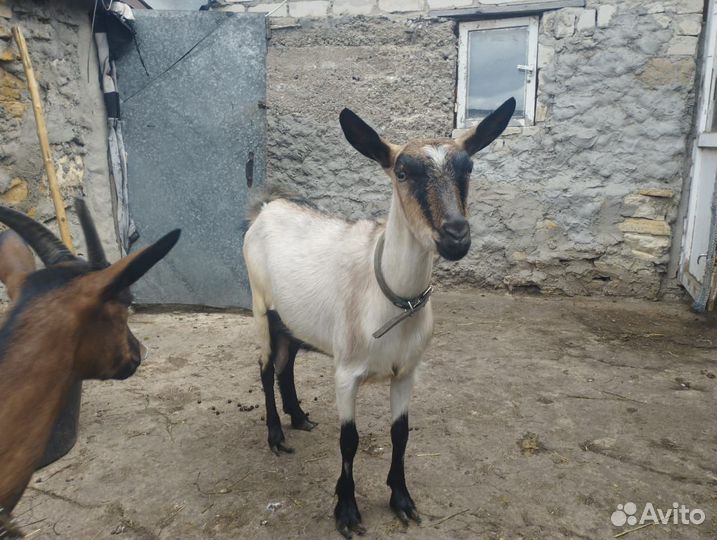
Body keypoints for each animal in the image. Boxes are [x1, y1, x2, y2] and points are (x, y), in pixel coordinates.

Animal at [243, 98, 516, 538]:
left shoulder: (406, 372)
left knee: (287, 365)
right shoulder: (346, 372)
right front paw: (347, 511)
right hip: (260, 304)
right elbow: (349, 441)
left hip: (294, 319)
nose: (456, 235)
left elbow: (400, 433)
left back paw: (298, 417)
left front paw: (401, 500)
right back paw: (275, 435)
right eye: (402, 172)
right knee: (267, 368)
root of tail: (267, 209)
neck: (390, 298)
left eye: (469, 168)